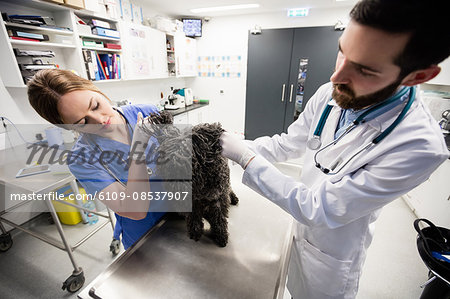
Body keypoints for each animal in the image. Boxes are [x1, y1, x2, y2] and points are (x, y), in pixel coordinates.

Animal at [146, 111, 241, 247]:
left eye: (182, 162)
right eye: (166, 167)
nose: (173, 190)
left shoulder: (217, 198)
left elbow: (219, 218)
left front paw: (220, 234)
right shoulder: (193, 201)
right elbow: (194, 216)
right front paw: (195, 231)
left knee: (229, 190)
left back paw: (233, 198)